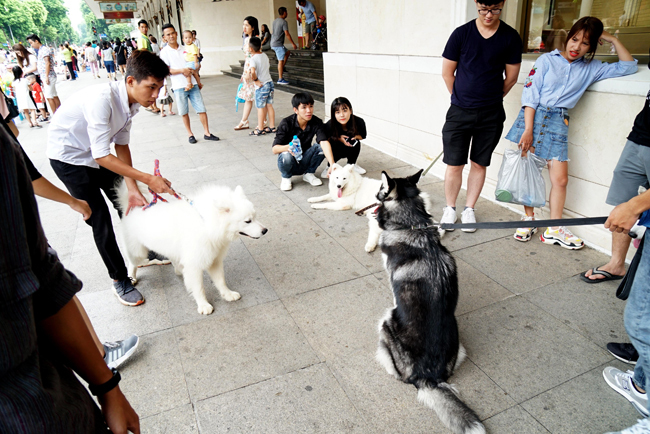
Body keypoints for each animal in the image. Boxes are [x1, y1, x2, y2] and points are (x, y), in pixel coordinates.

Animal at [116, 180, 266, 316]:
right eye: (247, 221)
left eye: (255, 216)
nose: (265, 230)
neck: (206, 224)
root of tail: (131, 210)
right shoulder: (195, 264)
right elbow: (199, 288)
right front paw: (203, 305)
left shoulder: (214, 259)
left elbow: (220, 280)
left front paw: (227, 294)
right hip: (138, 252)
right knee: (132, 263)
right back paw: (132, 277)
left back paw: (179, 270)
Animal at [372, 170, 484, 434]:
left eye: (380, 190)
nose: (373, 194)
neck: (412, 225)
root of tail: (427, 378)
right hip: (458, 342)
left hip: (385, 322)